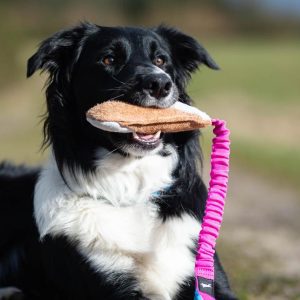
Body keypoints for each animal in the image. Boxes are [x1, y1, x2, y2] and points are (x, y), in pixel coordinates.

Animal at [0, 24, 237, 300]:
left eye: (161, 60)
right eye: (108, 59)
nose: (160, 83)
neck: (132, 189)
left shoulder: (207, 277)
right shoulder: (113, 286)